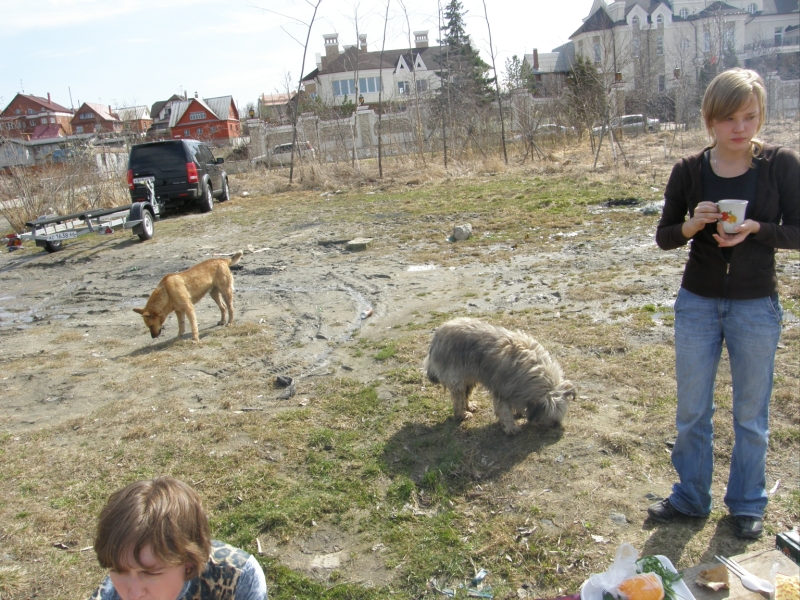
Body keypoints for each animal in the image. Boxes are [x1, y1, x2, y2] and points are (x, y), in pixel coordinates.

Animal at [424, 317, 575, 435]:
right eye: (552, 417)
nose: (556, 425)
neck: (535, 370)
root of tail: (436, 337)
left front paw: (519, 412)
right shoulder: (503, 389)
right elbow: (504, 410)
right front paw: (511, 427)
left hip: (469, 377)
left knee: (465, 394)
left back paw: (469, 406)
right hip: (456, 378)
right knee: (458, 399)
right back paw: (462, 414)